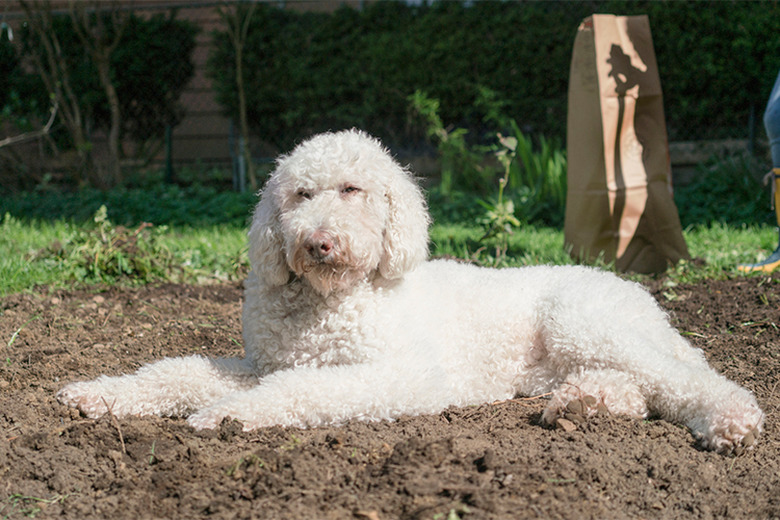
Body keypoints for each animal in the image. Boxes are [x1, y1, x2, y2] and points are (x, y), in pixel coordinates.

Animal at [59, 129, 760, 450]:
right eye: (300, 195)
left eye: (353, 190)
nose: (318, 243)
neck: (330, 302)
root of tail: (635, 292)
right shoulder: (266, 363)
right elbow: (175, 372)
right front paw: (99, 394)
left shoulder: (402, 375)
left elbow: (304, 391)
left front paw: (230, 415)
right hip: (570, 353)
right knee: (637, 386)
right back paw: (588, 403)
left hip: (584, 321)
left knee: (683, 378)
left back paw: (730, 418)